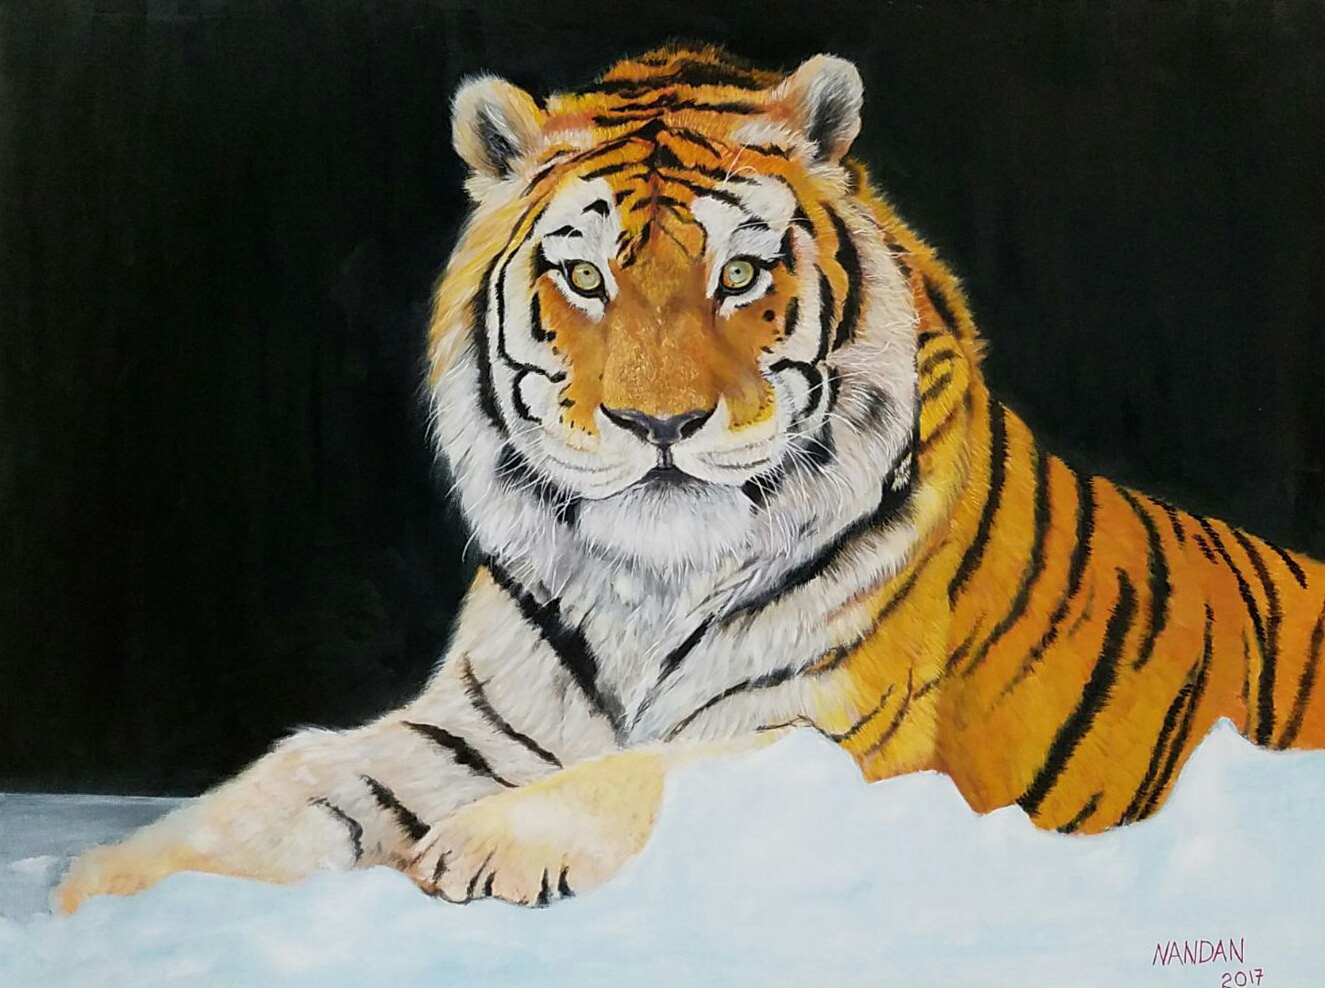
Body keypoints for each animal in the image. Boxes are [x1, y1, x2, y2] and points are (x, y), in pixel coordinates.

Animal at [57, 44, 1325, 914]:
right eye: (580, 276)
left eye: (741, 274)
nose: (658, 423)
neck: (646, 582)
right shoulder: (473, 724)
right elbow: (301, 778)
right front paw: (100, 882)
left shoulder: (830, 742)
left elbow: (652, 772)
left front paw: (480, 846)